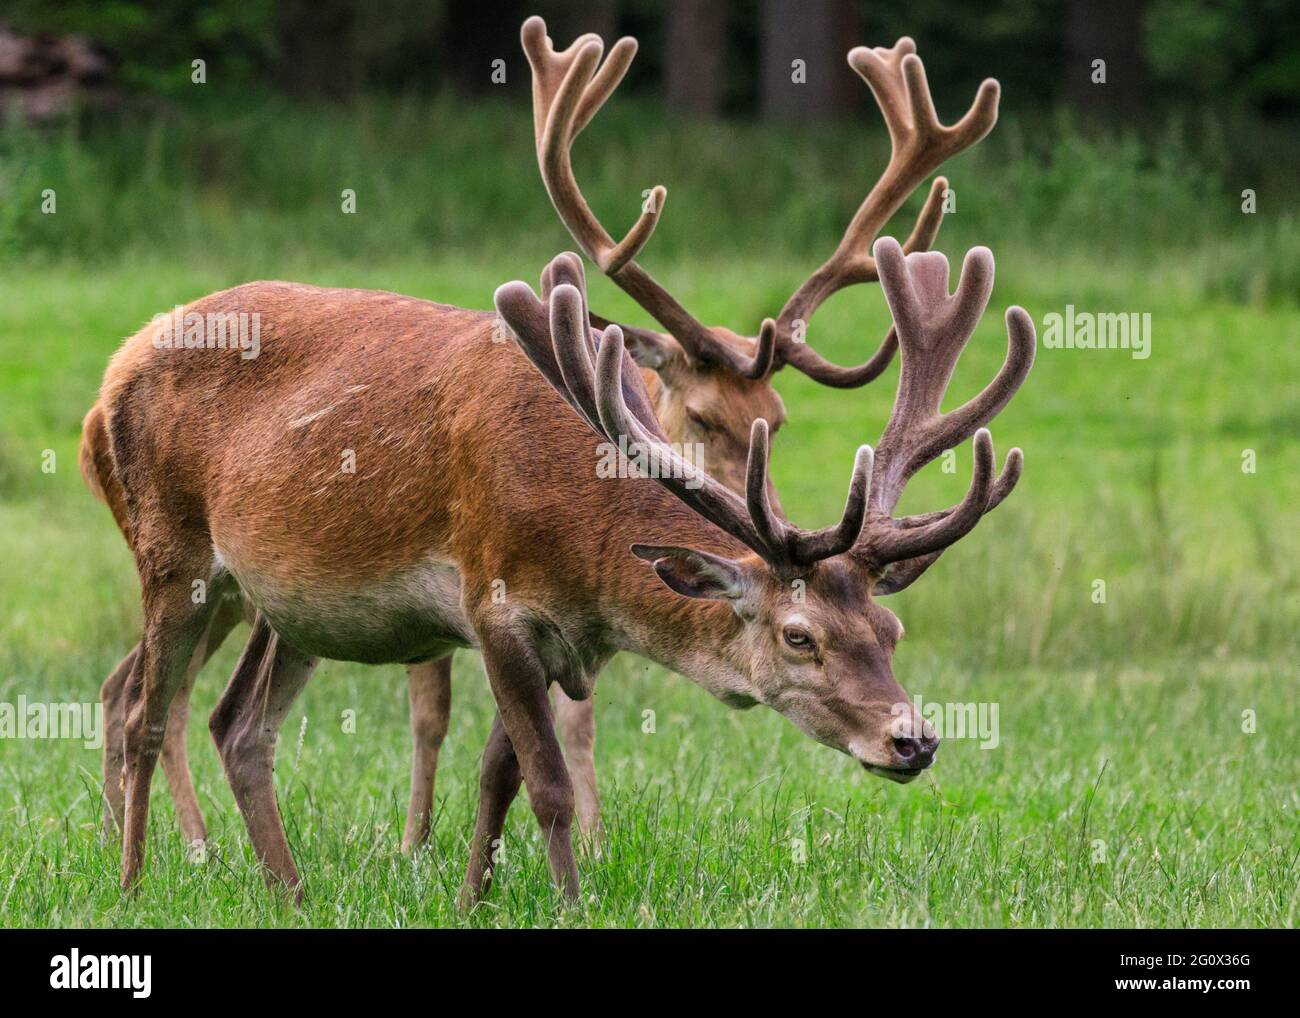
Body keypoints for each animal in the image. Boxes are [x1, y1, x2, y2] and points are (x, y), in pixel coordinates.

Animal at [96, 231, 1034, 899]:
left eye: (891, 628)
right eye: (799, 636)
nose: (913, 739)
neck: (588, 556)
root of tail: (122, 357)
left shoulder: (560, 639)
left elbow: (497, 775)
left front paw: (471, 898)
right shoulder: (494, 600)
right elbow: (545, 781)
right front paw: (569, 901)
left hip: (291, 606)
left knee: (238, 723)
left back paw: (289, 892)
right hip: (171, 549)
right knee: (144, 708)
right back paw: (134, 883)